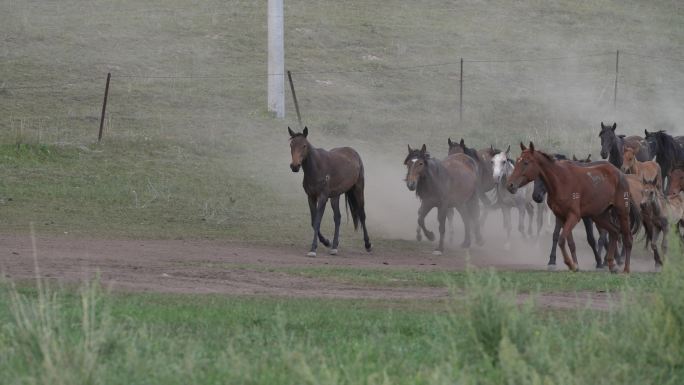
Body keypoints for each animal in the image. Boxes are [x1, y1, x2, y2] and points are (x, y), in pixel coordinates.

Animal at [290, 126, 374, 256]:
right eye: (291, 145)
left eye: (304, 145)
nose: (295, 166)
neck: (317, 167)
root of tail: (354, 153)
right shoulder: (311, 197)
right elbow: (313, 222)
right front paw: (326, 242)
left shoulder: (323, 198)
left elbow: (317, 221)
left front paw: (313, 248)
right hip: (335, 196)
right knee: (338, 217)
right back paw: (334, 246)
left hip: (358, 189)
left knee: (362, 215)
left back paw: (368, 244)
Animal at [504, 142, 640, 272]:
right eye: (517, 161)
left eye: (526, 162)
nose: (510, 185)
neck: (561, 181)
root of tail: (621, 174)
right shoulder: (562, 216)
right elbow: (569, 242)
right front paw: (574, 265)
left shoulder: (574, 216)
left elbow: (562, 239)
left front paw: (570, 263)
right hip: (600, 216)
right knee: (614, 232)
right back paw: (611, 264)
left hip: (622, 212)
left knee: (627, 239)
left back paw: (625, 269)